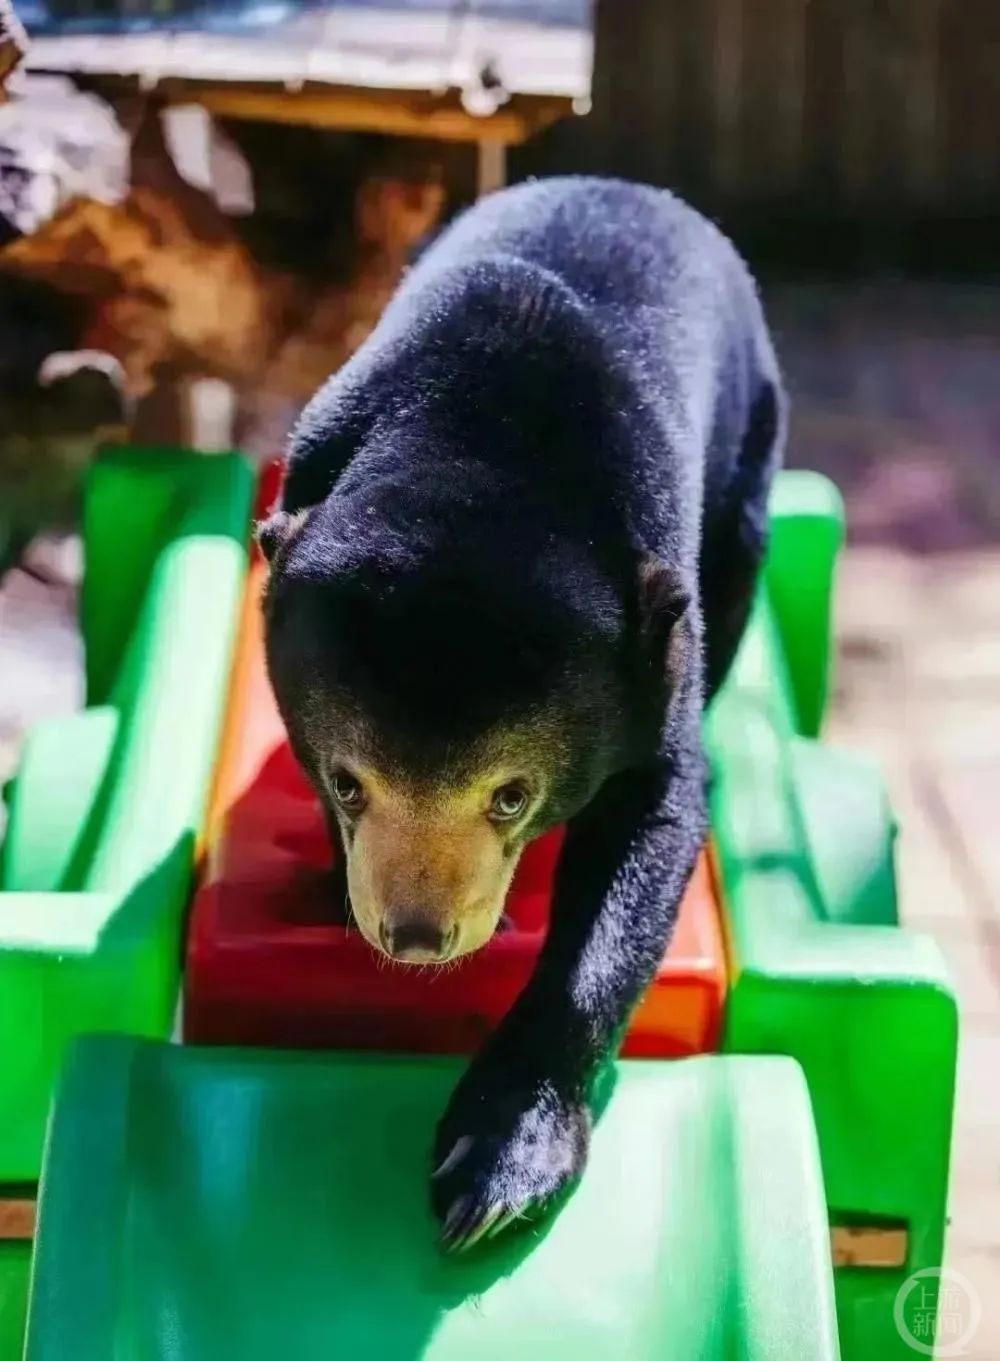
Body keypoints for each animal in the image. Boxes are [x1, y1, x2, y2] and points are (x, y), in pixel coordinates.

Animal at [259, 175, 789, 1246]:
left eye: (511, 795)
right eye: (349, 782)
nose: (416, 936)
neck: (477, 441)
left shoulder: (653, 633)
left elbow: (651, 828)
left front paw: (499, 1160)